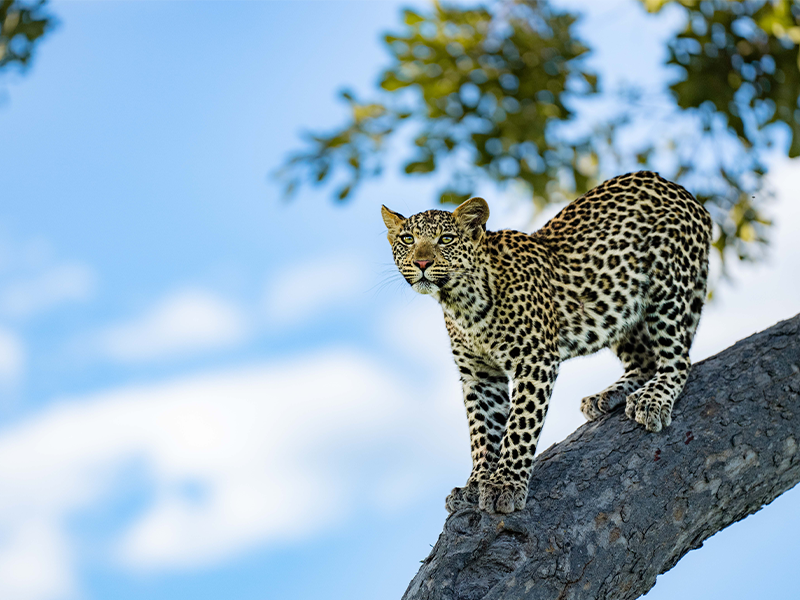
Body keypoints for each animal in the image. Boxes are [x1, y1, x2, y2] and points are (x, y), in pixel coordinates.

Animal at [382, 170, 712, 516]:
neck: (462, 303)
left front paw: (505, 485)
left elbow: (519, 425)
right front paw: (475, 484)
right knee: (645, 360)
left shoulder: (534, 359)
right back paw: (607, 396)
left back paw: (652, 400)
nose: (421, 263)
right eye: (407, 240)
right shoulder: (479, 375)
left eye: (445, 239)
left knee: (677, 360)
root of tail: (682, 192)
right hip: (618, 305)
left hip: (667, 286)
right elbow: (483, 433)